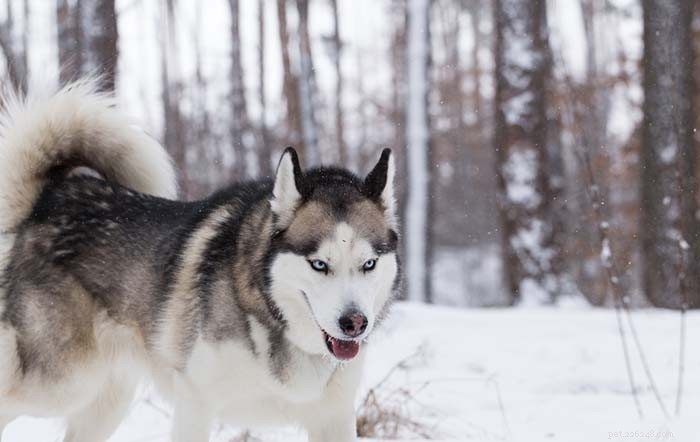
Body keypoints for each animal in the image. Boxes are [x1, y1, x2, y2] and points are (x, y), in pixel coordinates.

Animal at [0, 81, 400, 442]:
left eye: (368, 264)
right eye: (319, 264)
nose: (354, 324)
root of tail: (51, 199)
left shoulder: (333, 419)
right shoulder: (195, 403)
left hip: (107, 398)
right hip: (64, 382)